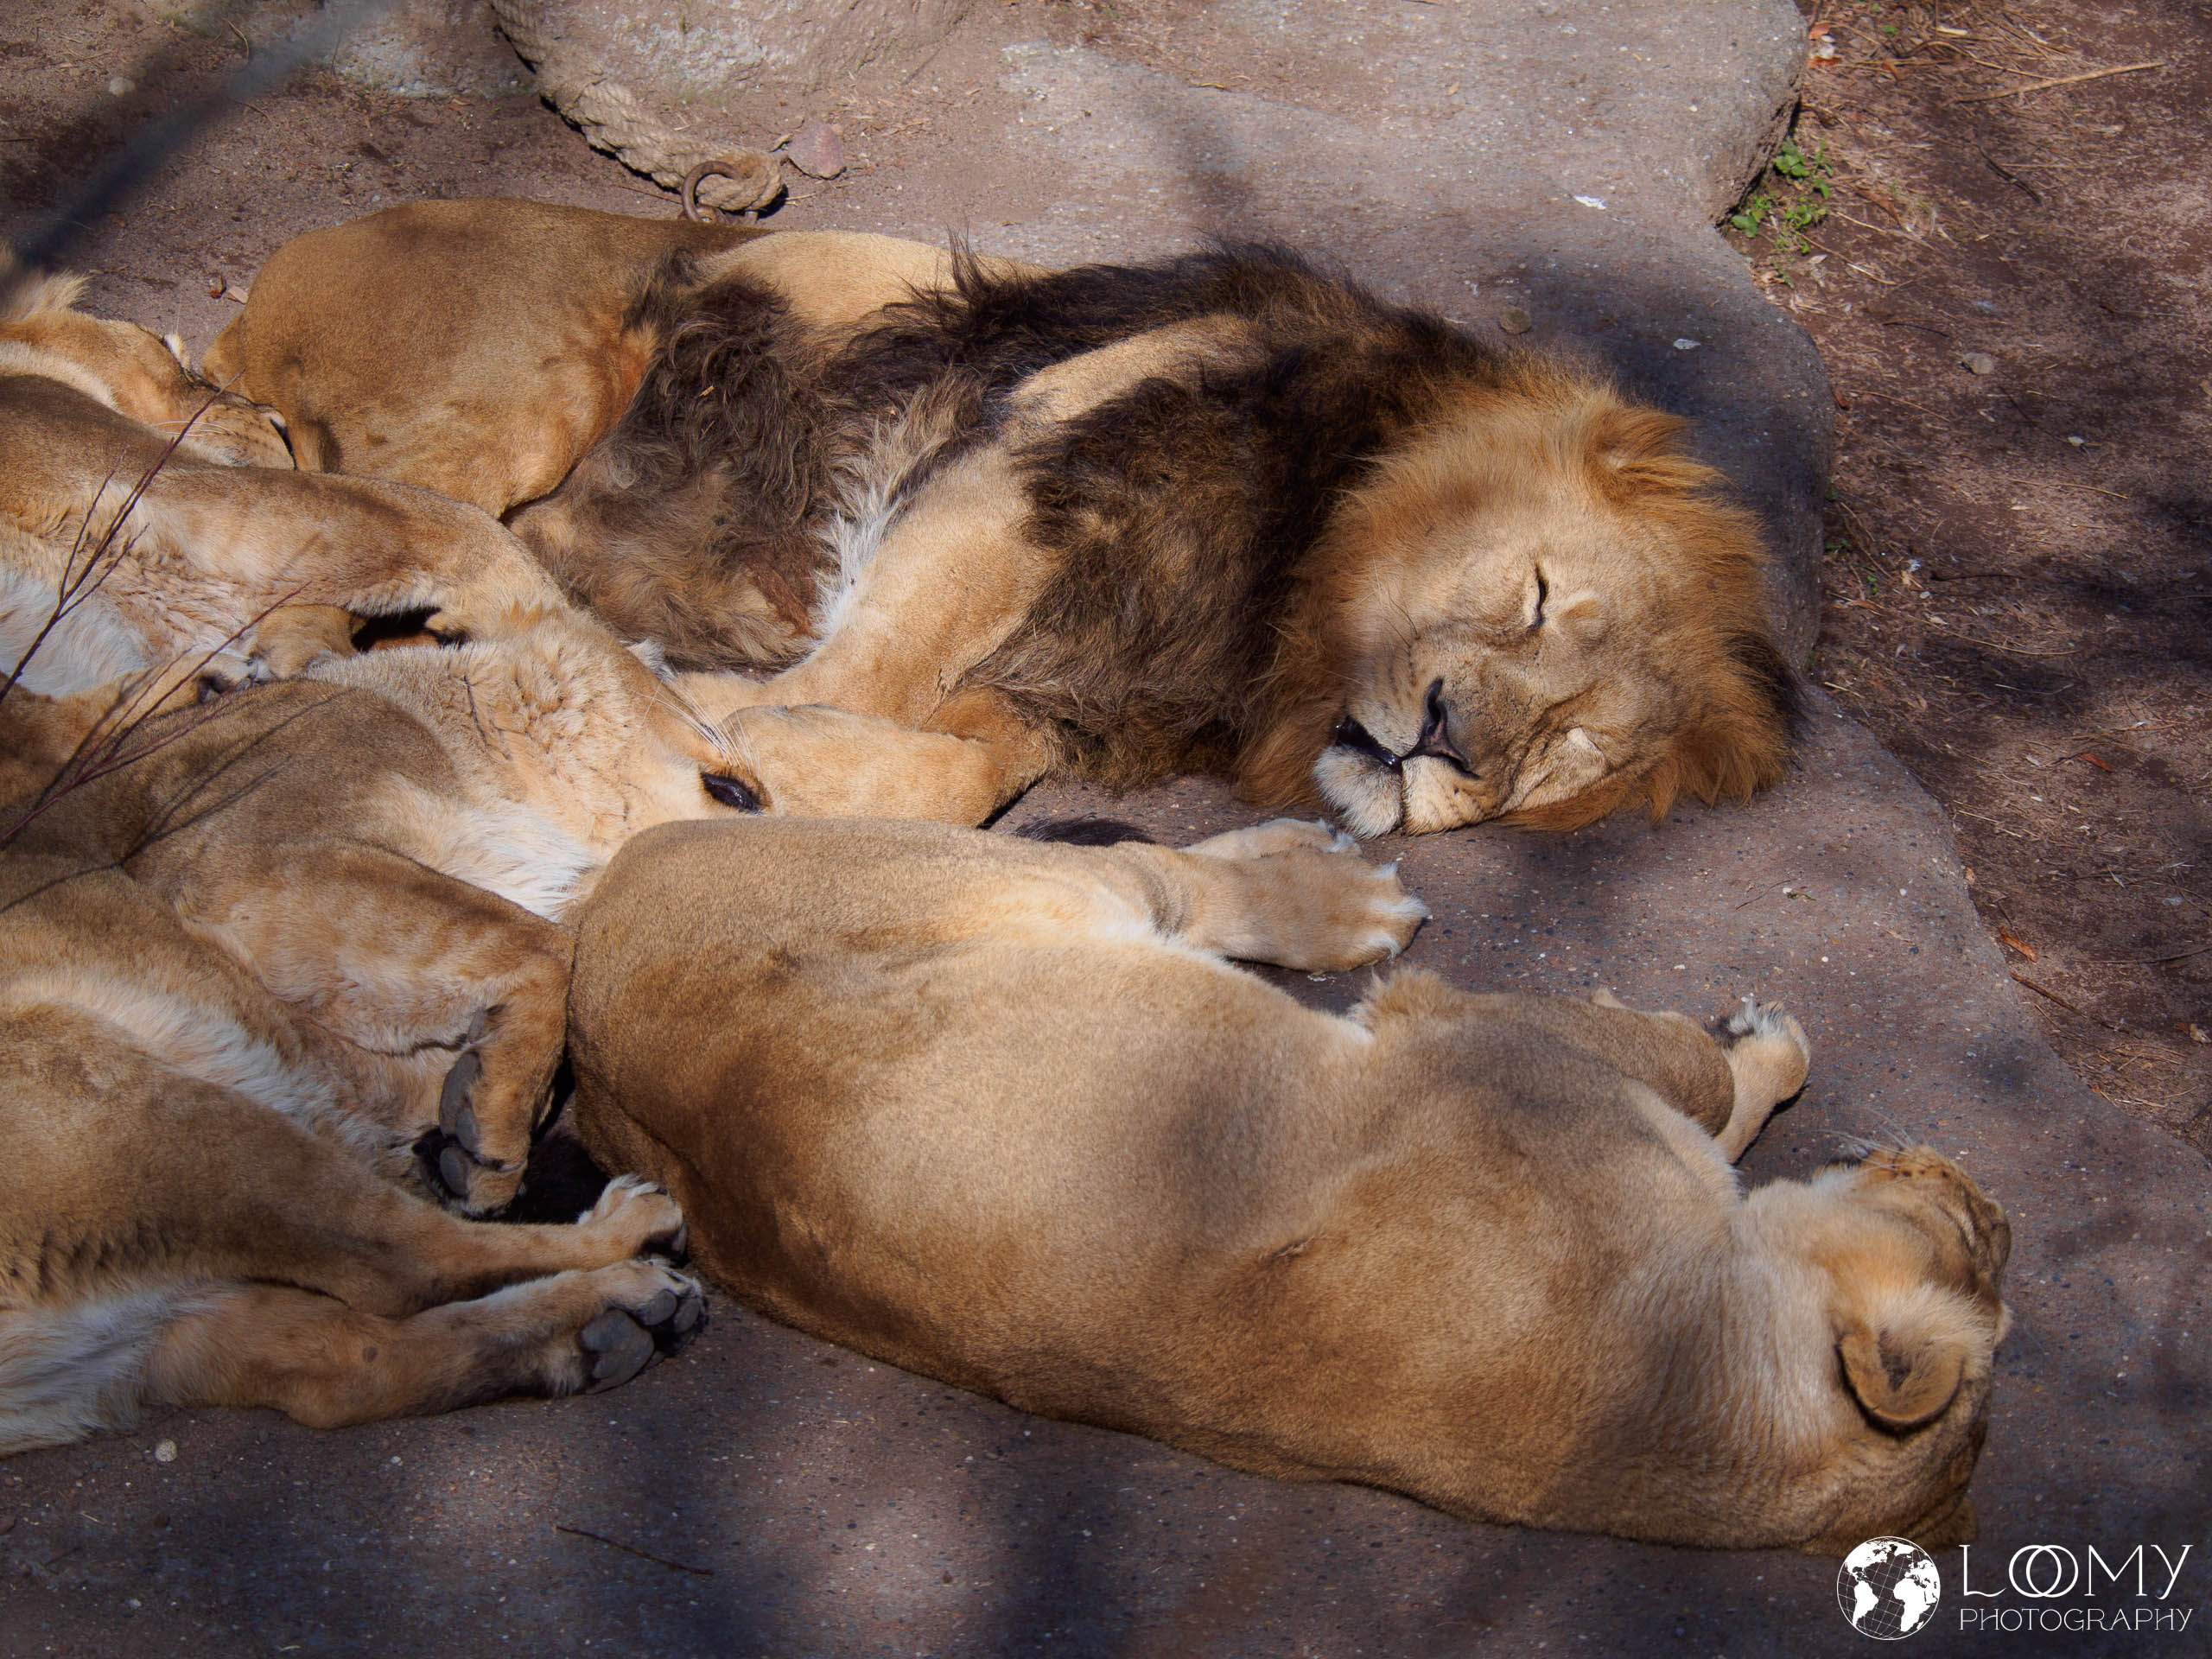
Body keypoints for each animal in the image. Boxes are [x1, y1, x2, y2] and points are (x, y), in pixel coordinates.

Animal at [209, 201, 1798, 836]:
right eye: (1535, 600)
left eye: (1566, 751)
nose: (1452, 745)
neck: (1290, 612)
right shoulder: (1035, 460)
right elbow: (867, 666)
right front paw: (714, 731)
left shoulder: (1081, 688)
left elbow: (953, 774)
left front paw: (747, 749)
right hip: (539, 389)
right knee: (351, 512)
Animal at [565, 815, 2009, 1552]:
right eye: (1976, 1241)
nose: (1984, 1185)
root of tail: (583, 981)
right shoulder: (1498, 1045)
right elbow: (1702, 1081)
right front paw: (1766, 1044)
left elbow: (1717, 1106)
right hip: (988, 873)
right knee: (1161, 869)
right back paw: (1338, 885)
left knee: (1175, 870)